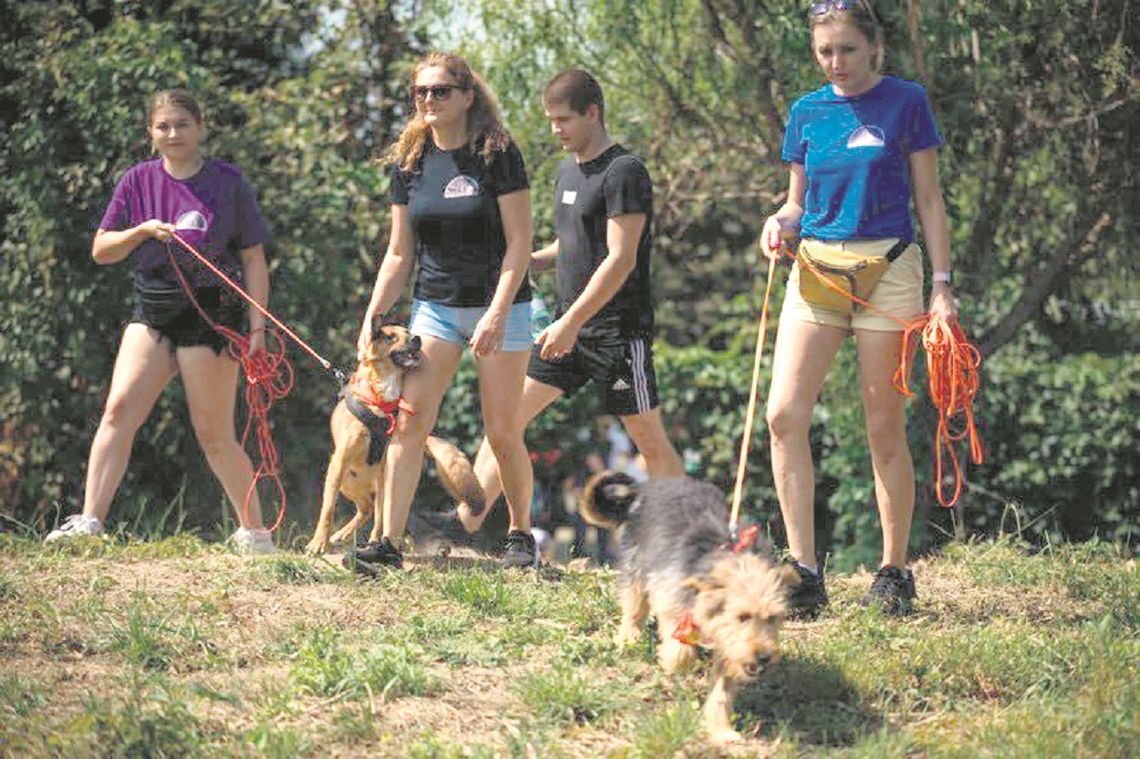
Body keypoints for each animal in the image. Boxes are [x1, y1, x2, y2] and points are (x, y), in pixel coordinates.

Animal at [303, 321, 481, 553]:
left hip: (381, 482)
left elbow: (379, 516)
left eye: (407, 332)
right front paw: (319, 542)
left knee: (375, 512)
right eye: (389, 337)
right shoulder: (339, 463)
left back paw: (371, 540)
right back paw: (342, 535)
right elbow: (327, 509)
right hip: (346, 482)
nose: (417, 339)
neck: (381, 399)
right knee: (366, 508)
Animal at [583, 469, 798, 743]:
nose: (763, 657)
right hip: (638, 563)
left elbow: (722, 691)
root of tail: (645, 488)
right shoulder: (670, 596)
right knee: (633, 607)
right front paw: (673, 661)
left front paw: (721, 730)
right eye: (742, 616)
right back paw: (627, 639)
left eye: (772, 618)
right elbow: (681, 648)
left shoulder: (728, 646)